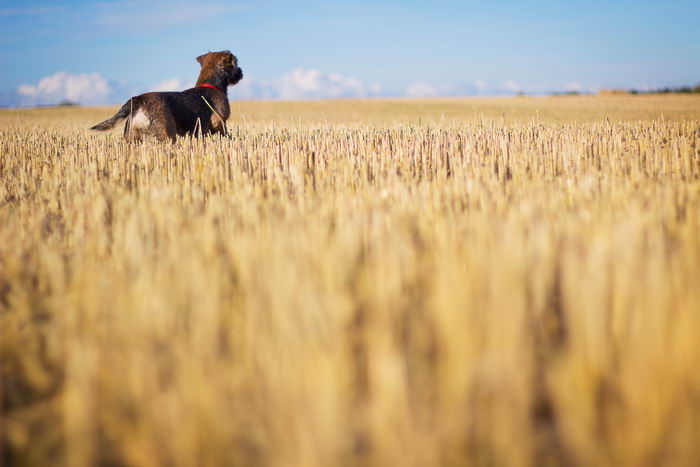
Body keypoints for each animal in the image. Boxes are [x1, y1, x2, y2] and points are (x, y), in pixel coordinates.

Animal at [90, 51, 243, 142]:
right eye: (235, 63)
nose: (241, 71)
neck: (211, 84)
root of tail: (138, 100)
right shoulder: (220, 122)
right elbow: (226, 134)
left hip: (132, 138)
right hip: (167, 135)